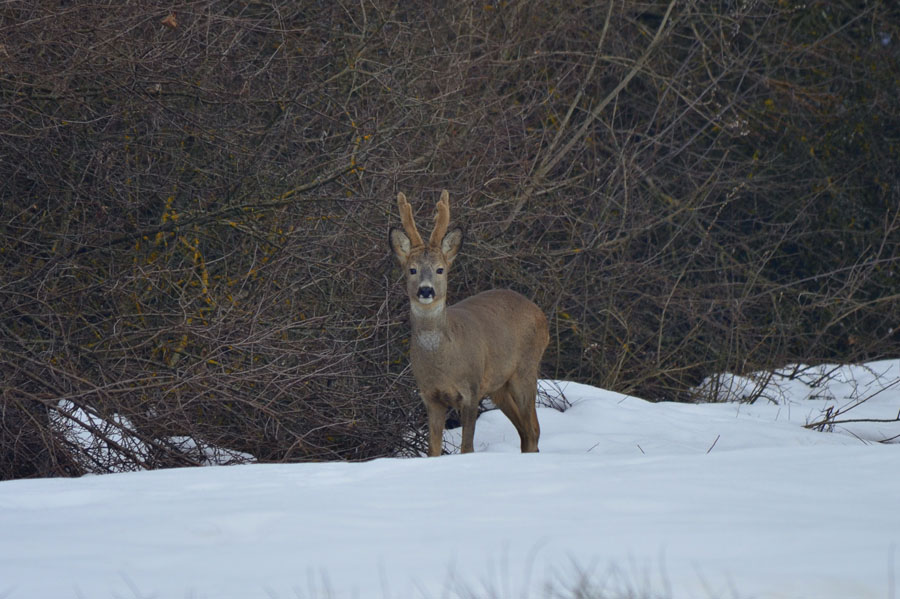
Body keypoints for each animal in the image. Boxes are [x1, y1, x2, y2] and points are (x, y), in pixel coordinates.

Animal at [390, 190, 552, 458]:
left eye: (440, 269)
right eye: (412, 270)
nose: (426, 290)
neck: (444, 361)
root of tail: (540, 313)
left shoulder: (471, 390)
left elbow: (467, 447)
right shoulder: (430, 396)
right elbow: (433, 450)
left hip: (526, 368)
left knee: (533, 430)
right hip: (499, 385)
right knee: (525, 431)